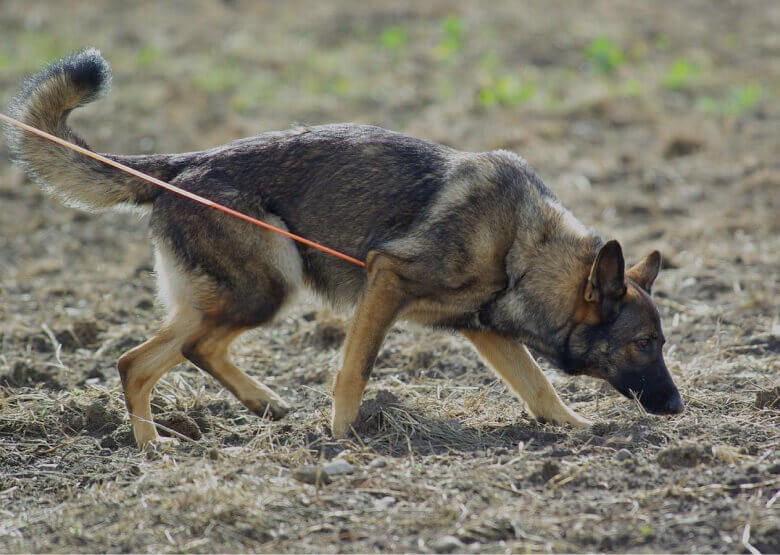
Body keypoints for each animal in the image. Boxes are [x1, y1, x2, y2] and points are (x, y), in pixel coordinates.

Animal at [4, 50, 684, 450]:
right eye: (643, 344)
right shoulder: (386, 282)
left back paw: (224, 419)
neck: (524, 250)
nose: (678, 407)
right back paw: (157, 446)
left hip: (236, 297)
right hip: (267, 286)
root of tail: (181, 166)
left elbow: (539, 387)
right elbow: (354, 370)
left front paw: (575, 427)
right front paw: (341, 435)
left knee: (156, 356)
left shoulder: (484, 330)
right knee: (156, 358)